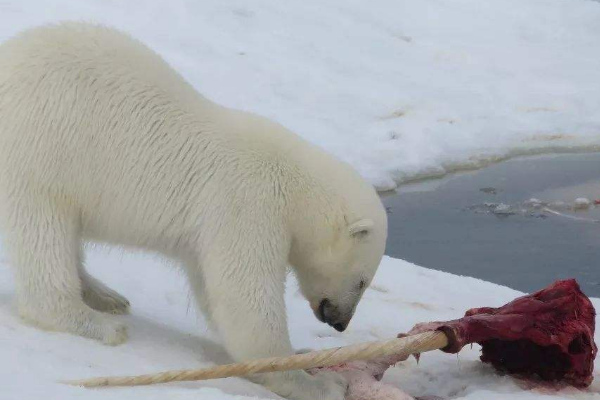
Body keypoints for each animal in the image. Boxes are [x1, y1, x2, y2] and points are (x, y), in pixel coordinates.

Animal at [0, 22, 386, 400]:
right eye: (362, 280)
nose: (341, 322)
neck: (295, 184)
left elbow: (212, 290)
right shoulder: (247, 202)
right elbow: (245, 301)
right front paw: (319, 382)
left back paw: (106, 295)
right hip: (40, 151)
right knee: (43, 231)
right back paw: (95, 321)